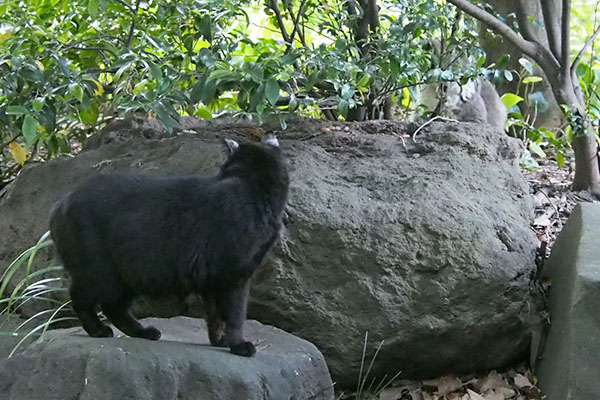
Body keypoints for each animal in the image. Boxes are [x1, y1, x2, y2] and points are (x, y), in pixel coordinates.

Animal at [49, 134, 288, 356]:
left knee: (112, 307)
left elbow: (214, 315)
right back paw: (98, 330)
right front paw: (238, 345)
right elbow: (235, 315)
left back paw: (143, 332)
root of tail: (62, 203)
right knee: (81, 298)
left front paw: (219, 340)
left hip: (127, 276)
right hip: (103, 273)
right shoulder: (234, 276)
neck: (250, 185)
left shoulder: (212, 280)